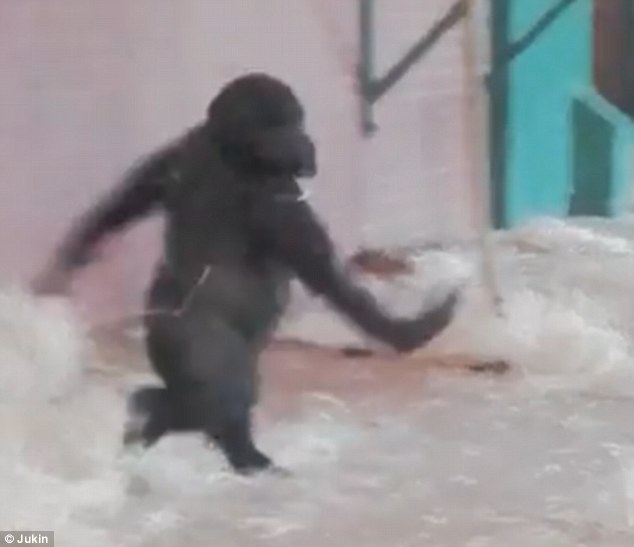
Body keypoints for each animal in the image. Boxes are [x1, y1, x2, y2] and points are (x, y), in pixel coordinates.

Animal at [32, 73, 459, 475]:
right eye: (285, 127)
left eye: (297, 121)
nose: (305, 142)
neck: (230, 145)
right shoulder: (276, 190)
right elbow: (327, 276)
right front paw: (414, 329)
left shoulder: (181, 145)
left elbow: (126, 200)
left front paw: (72, 255)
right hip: (198, 342)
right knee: (225, 392)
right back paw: (244, 455)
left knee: (192, 400)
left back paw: (150, 418)